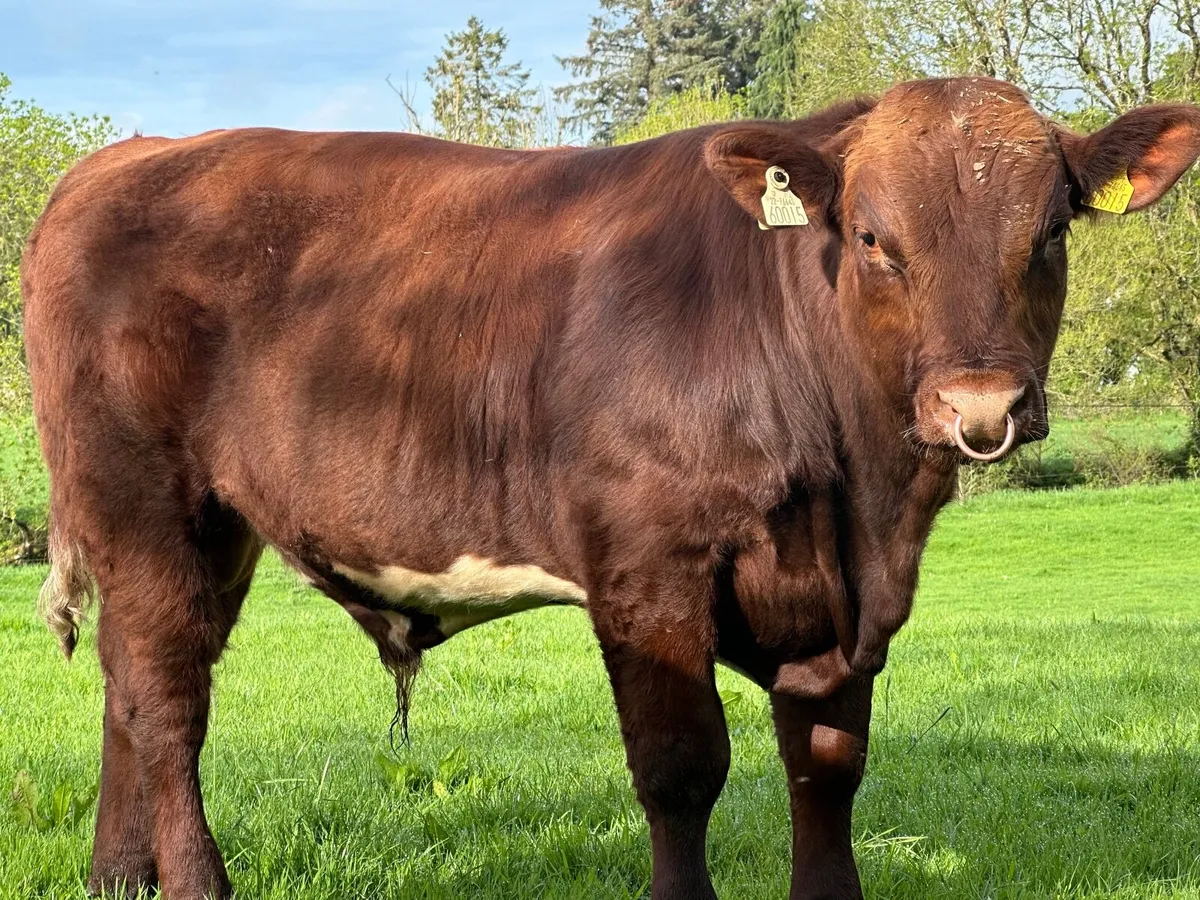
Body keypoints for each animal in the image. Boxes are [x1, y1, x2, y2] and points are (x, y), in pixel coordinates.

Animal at [20, 76, 1200, 899]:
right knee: (167, 705)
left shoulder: (843, 608)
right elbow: (680, 769)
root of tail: (119, 163)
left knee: (132, 687)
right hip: (143, 505)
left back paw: (116, 880)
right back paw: (191, 883)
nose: (979, 405)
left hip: (215, 529)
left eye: (1050, 232)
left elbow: (826, 765)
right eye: (873, 238)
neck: (858, 497)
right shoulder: (646, 568)